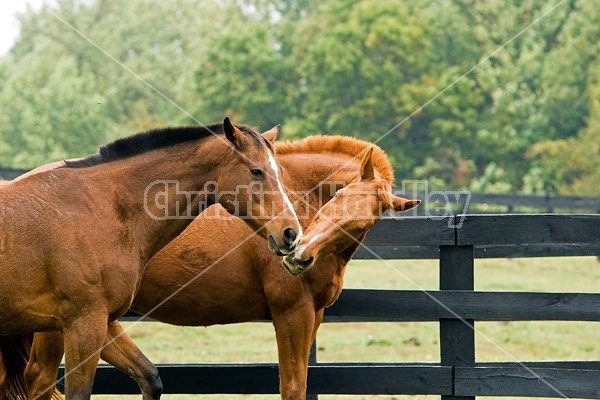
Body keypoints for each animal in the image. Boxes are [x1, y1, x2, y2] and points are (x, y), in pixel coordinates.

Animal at [0, 119, 300, 400]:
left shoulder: (102, 323)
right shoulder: (83, 326)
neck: (100, 208)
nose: (291, 233)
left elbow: (150, 378)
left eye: (279, 171)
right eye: (256, 171)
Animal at [12, 136, 418, 398]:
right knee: (40, 380)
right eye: (337, 198)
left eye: (363, 224)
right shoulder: (293, 314)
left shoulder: (313, 316)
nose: (298, 253)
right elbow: (293, 387)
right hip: (64, 327)